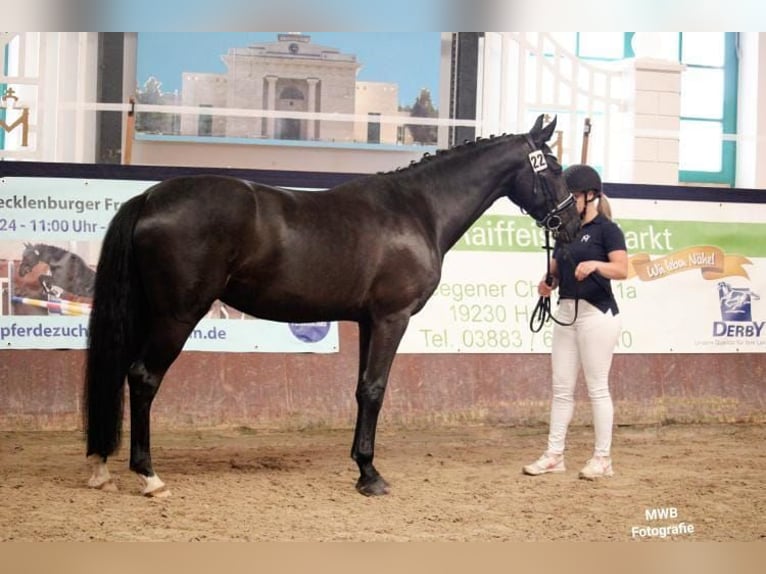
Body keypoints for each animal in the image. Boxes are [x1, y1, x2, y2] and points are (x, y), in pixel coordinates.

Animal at [84, 115, 580, 498]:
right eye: (554, 166)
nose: (573, 224)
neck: (418, 209)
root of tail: (148, 197)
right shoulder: (391, 319)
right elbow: (375, 390)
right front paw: (371, 476)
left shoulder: (367, 321)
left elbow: (362, 389)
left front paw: (362, 467)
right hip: (176, 317)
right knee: (143, 378)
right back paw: (149, 476)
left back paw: (102, 467)